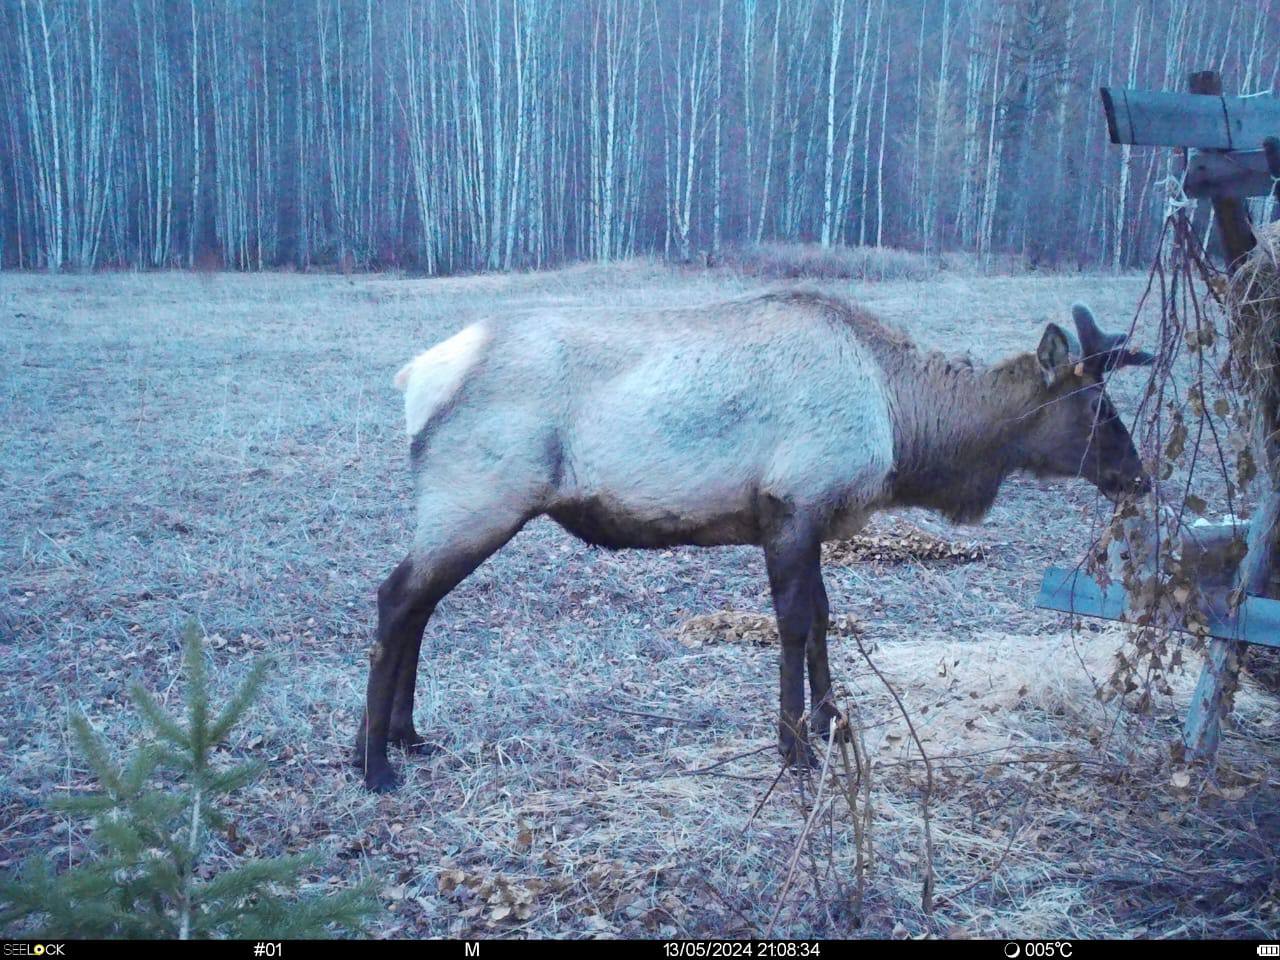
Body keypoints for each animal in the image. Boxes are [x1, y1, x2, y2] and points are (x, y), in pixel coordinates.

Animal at [355, 291, 1157, 788]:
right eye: (1097, 410)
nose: (1139, 478)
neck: (902, 427)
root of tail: (415, 378)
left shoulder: (816, 517)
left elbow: (826, 618)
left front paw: (832, 723)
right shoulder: (791, 504)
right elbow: (796, 623)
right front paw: (794, 745)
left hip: (464, 507)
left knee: (419, 605)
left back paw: (407, 735)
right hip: (480, 498)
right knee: (396, 597)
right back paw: (373, 765)